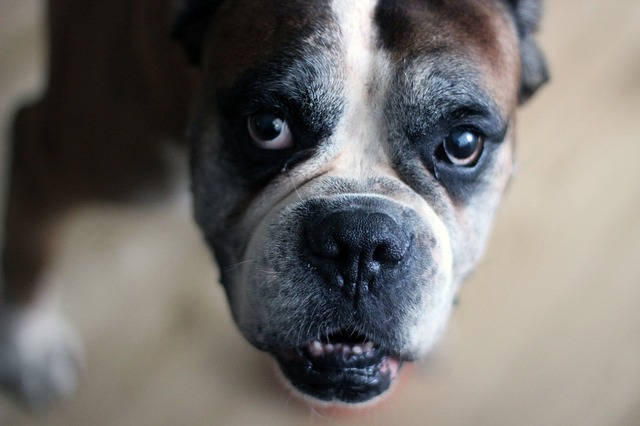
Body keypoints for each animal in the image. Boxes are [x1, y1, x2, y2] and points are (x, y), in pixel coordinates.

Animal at [2, 0, 548, 410]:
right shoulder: (44, 149)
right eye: (267, 127)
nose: (360, 241)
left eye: (462, 143)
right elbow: (29, 247)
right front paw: (30, 344)